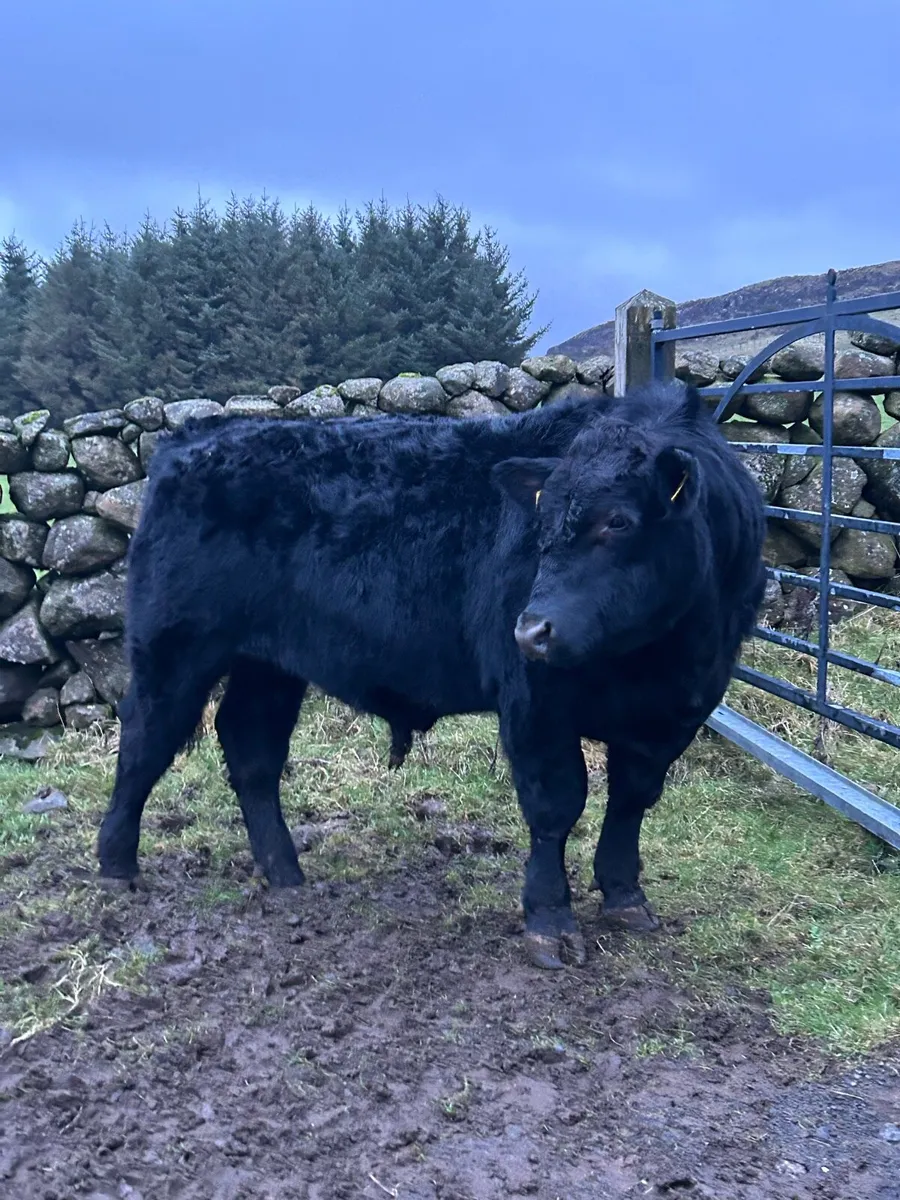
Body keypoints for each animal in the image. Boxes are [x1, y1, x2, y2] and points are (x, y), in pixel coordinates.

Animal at [97, 382, 766, 969]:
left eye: (619, 521)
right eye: (541, 523)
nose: (531, 630)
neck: (653, 659)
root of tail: (198, 433)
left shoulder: (676, 712)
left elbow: (631, 802)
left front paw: (626, 896)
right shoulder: (535, 705)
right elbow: (555, 806)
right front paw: (550, 922)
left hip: (269, 663)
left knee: (251, 748)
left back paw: (285, 873)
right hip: (175, 647)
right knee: (145, 741)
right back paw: (117, 866)